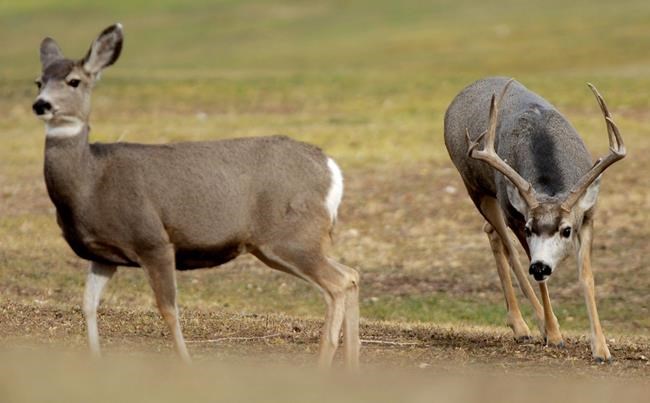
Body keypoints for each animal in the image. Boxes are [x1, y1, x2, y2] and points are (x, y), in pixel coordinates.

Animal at [31, 23, 360, 369]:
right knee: (351, 274)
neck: (91, 181)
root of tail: (331, 168)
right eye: (39, 81)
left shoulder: (153, 240)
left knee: (339, 283)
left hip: (290, 237)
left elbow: (168, 309)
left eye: (74, 80)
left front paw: (186, 363)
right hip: (283, 243)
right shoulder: (103, 255)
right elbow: (88, 305)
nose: (41, 105)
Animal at [444, 77, 625, 362]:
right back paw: (529, 326)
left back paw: (523, 325)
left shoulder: (588, 217)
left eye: (566, 230)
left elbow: (586, 276)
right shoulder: (517, 219)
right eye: (530, 228)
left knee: (492, 233)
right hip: (476, 188)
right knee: (508, 247)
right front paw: (554, 335)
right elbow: (537, 276)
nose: (540, 266)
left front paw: (601, 349)